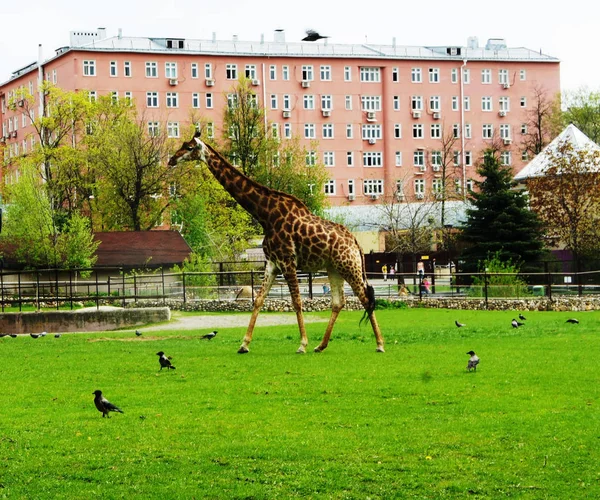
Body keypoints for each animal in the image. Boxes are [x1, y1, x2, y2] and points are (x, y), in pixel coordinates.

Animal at [169, 131, 384, 354]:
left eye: (189, 147)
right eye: (182, 145)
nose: (171, 160)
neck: (265, 214)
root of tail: (356, 243)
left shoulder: (287, 261)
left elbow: (296, 302)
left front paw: (302, 344)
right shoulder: (272, 263)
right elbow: (258, 300)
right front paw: (244, 344)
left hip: (349, 265)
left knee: (365, 298)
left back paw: (379, 344)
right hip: (334, 268)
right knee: (338, 302)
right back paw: (321, 345)